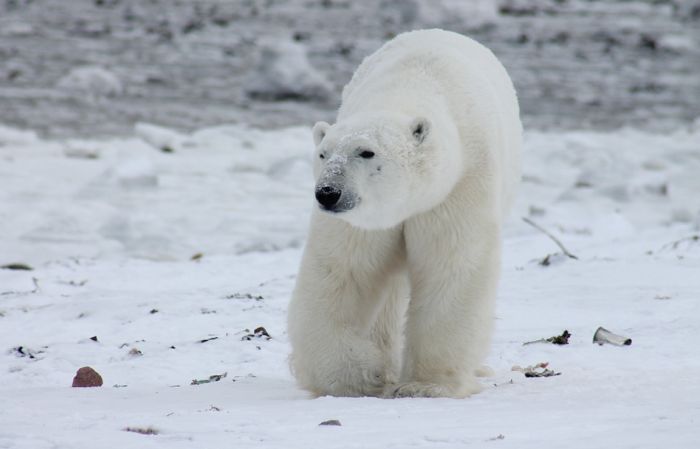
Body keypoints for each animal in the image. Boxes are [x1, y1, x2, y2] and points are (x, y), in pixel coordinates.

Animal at [288, 29, 524, 398]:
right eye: (324, 154)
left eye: (366, 152)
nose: (328, 193)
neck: (410, 86)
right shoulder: (364, 220)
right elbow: (343, 271)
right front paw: (359, 375)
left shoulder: (458, 186)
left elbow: (451, 267)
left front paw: (425, 385)